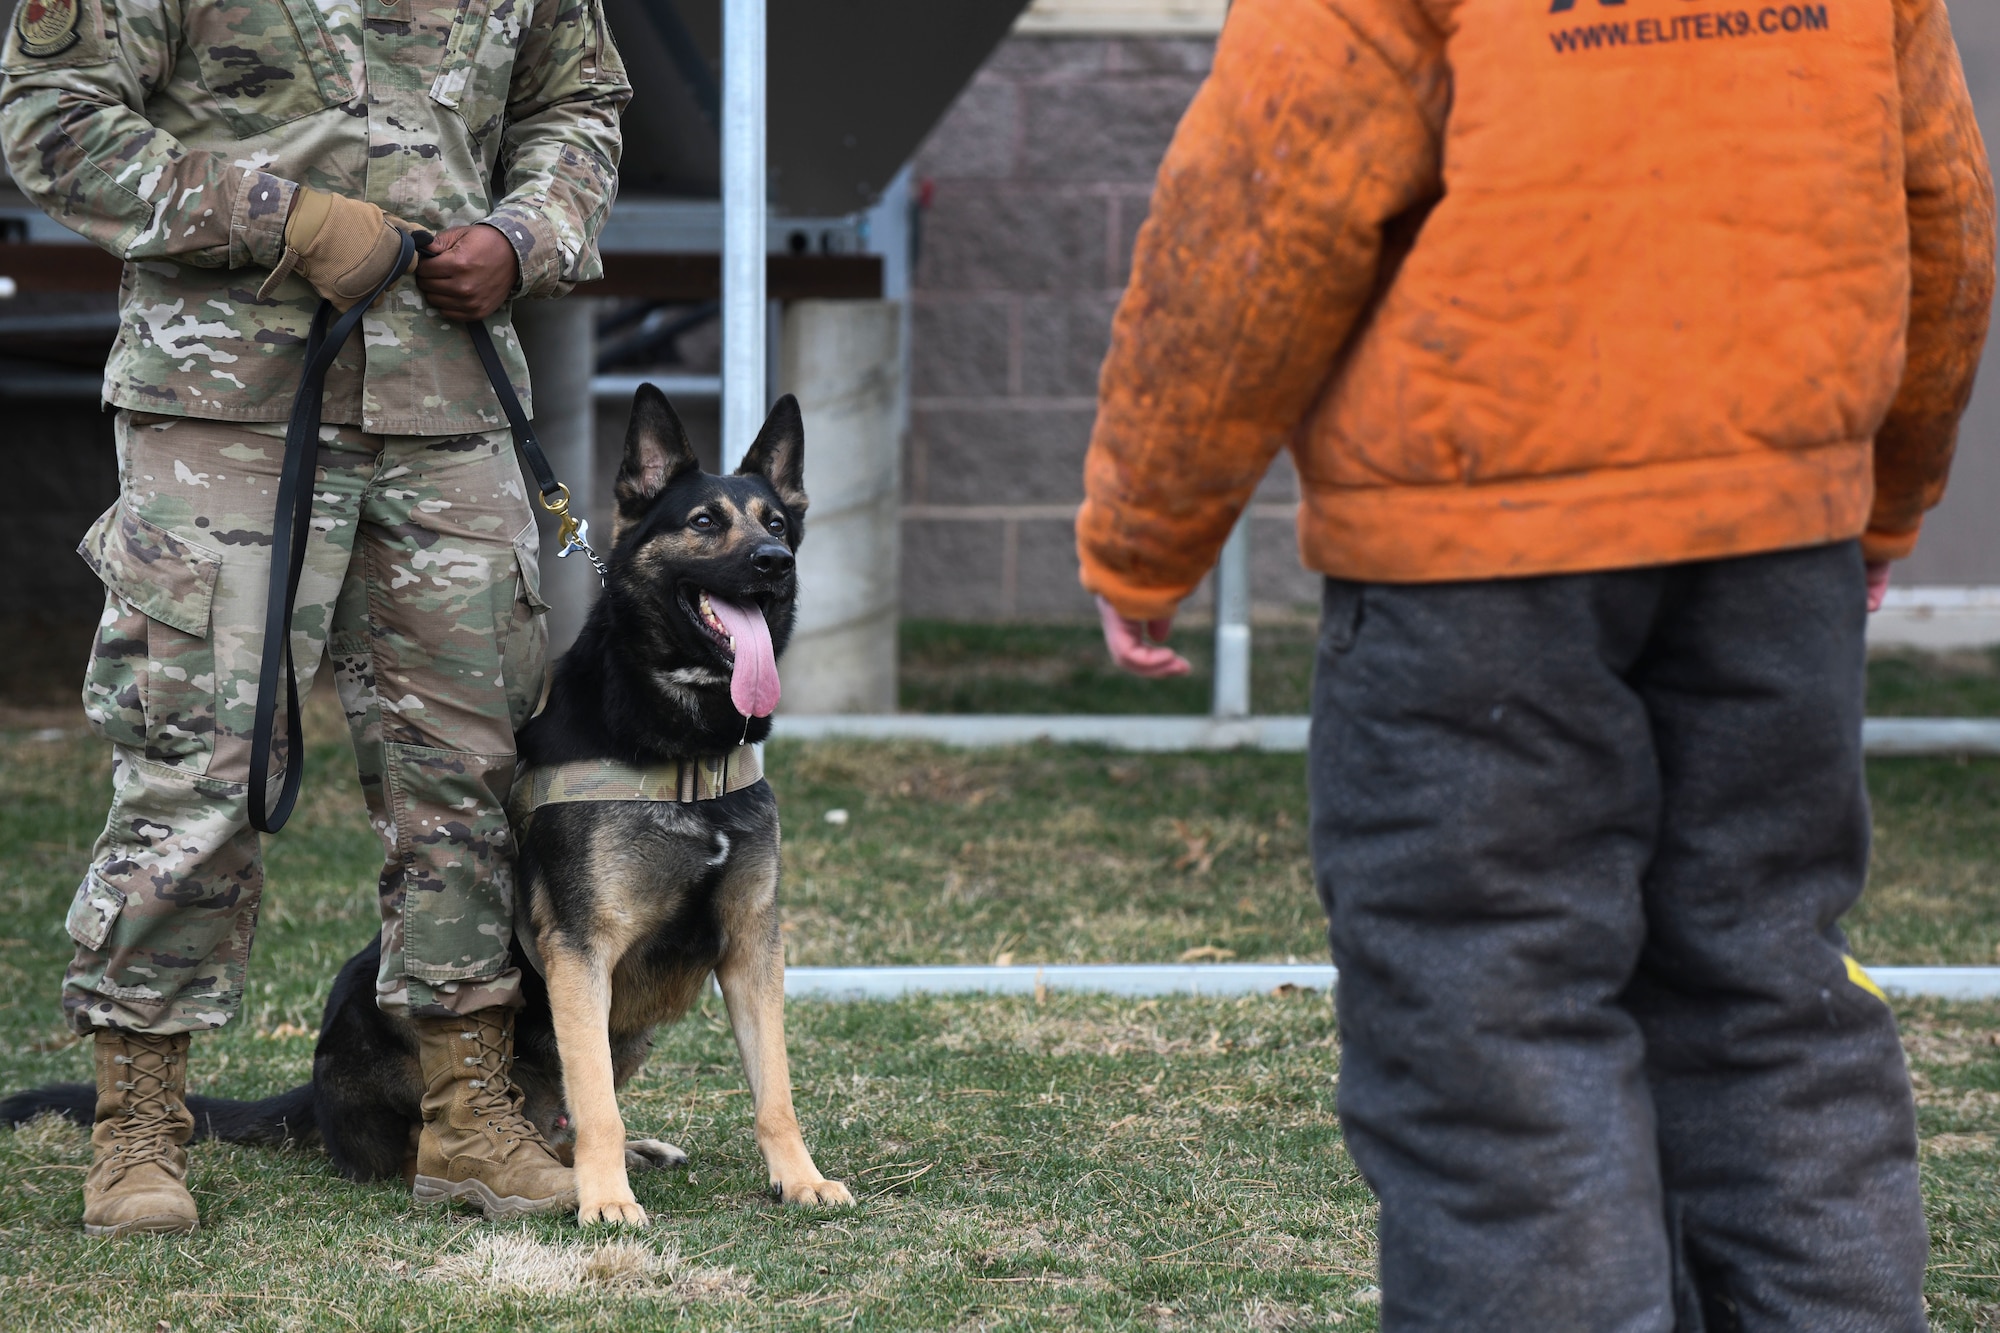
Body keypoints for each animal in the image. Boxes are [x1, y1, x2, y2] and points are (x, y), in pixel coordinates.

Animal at [0, 386, 852, 1224]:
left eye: (777, 523)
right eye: (705, 522)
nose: (775, 562)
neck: (681, 745)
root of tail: (314, 1092)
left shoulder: (752, 945)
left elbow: (774, 1090)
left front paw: (800, 1178)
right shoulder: (582, 953)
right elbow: (596, 1103)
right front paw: (606, 1199)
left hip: (629, 1030)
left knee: (555, 1111)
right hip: (384, 999)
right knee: (430, 1139)